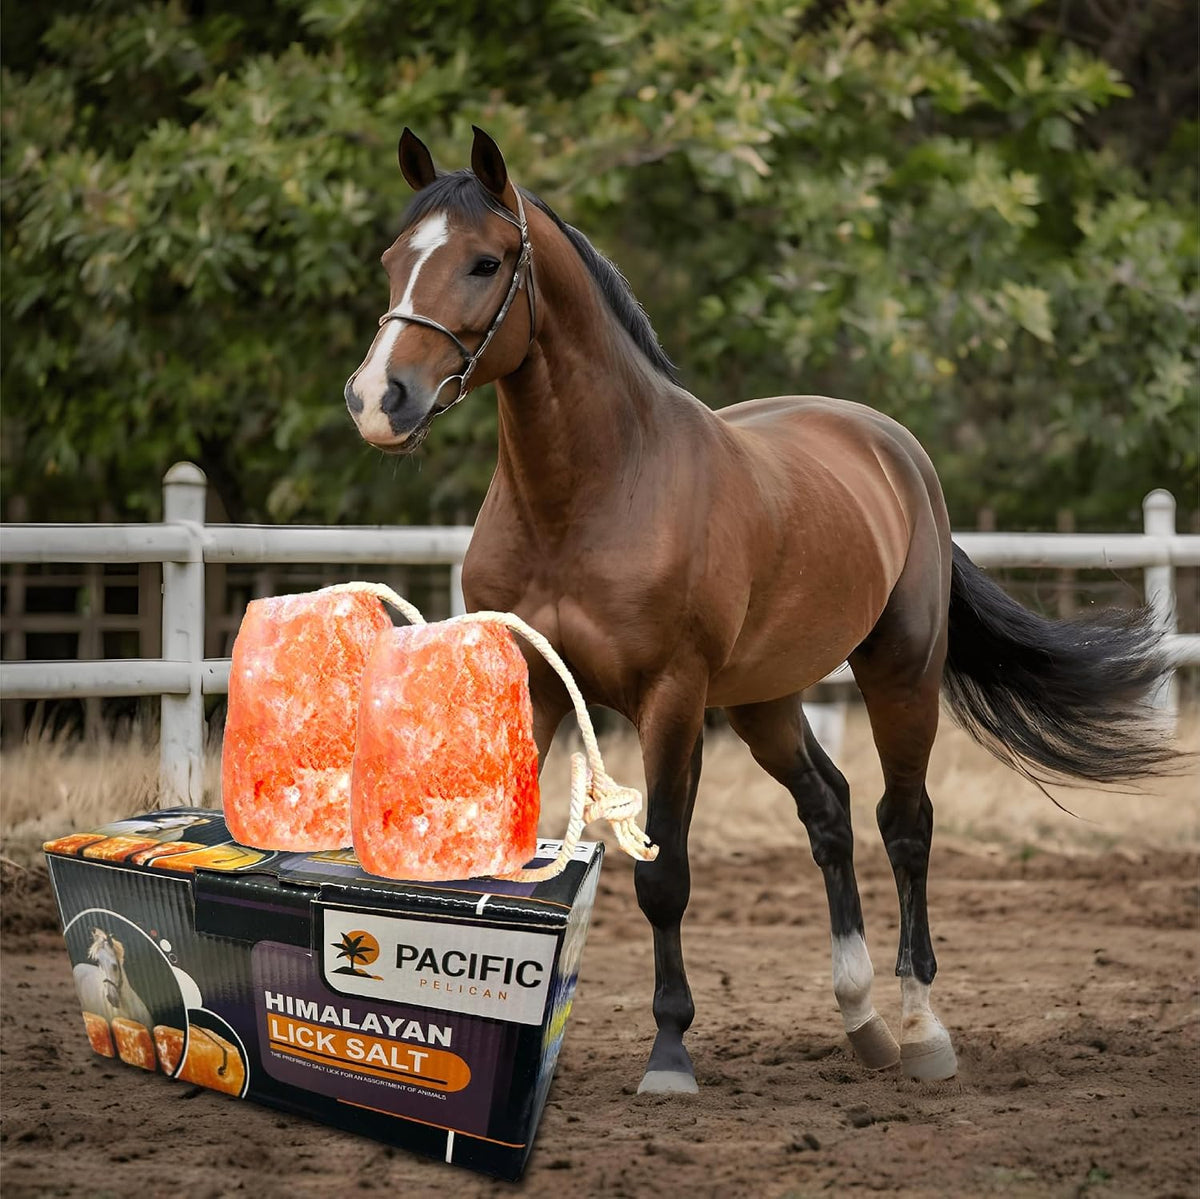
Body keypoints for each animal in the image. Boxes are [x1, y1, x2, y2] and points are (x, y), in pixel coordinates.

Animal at [344, 127, 1174, 1094]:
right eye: (393, 259)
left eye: (484, 262)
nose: (378, 400)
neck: (594, 490)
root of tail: (894, 448)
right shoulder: (541, 689)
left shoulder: (671, 700)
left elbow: (665, 874)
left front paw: (670, 1054)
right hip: (763, 700)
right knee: (829, 809)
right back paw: (860, 1019)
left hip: (898, 675)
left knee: (905, 825)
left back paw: (921, 1028)